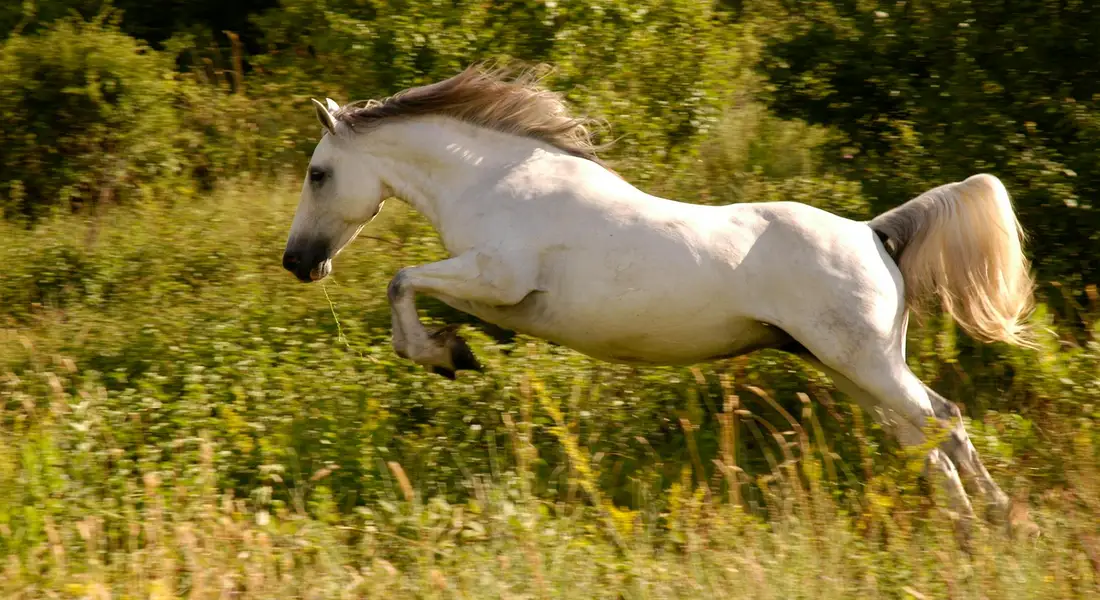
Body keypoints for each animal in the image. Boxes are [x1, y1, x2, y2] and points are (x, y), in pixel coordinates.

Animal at [281, 64, 1036, 527]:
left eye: (318, 174)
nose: (298, 262)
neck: (497, 182)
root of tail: (874, 233)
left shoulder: (498, 278)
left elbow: (402, 279)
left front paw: (443, 354)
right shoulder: (493, 292)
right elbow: (417, 290)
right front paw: (454, 349)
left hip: (865, 363)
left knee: (945, 419)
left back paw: (1000, 523)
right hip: (848, 367)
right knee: (922, 437)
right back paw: (964, 524)